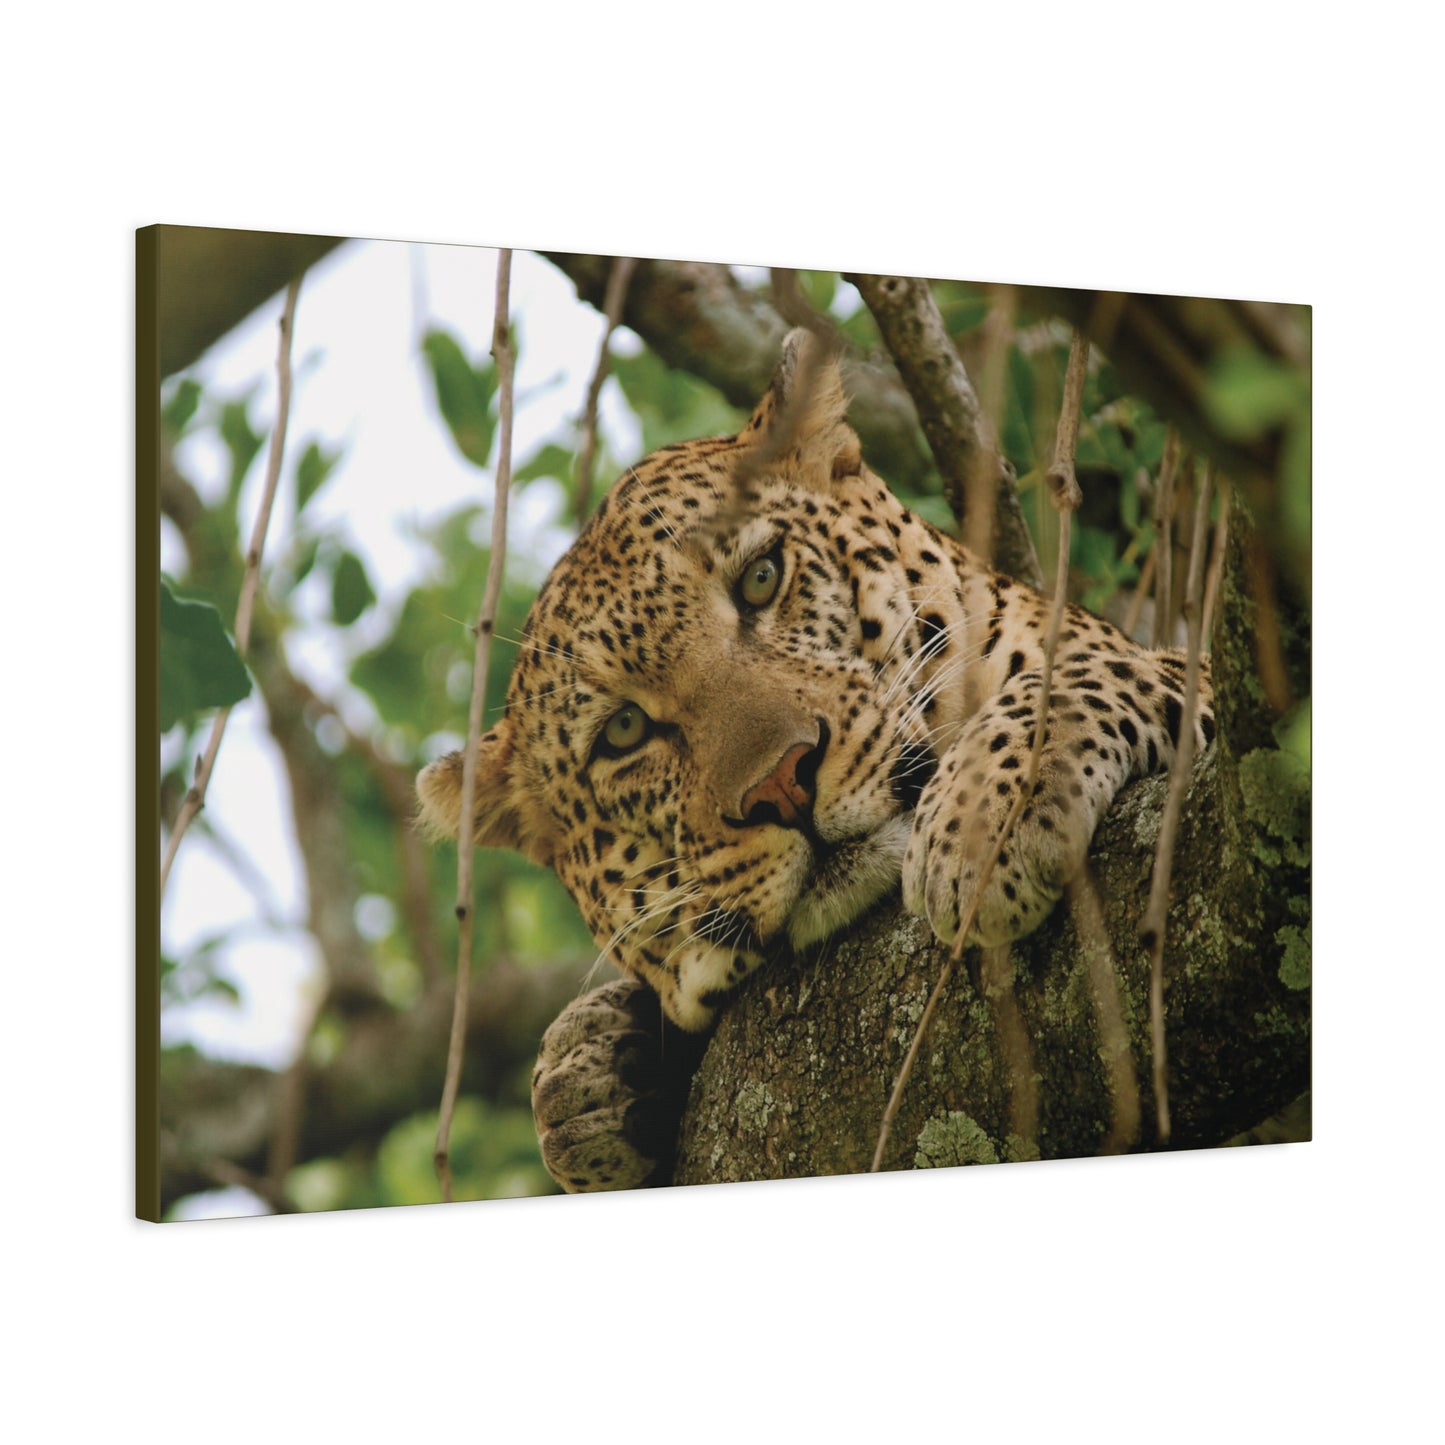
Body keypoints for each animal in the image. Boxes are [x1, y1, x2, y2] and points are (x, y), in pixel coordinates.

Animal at [416, 330, 1215, 1192]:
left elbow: (1082, 672)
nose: (782, 782)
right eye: (623, 730)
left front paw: (980, 822)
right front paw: (591, 1077)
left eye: (762, 578)